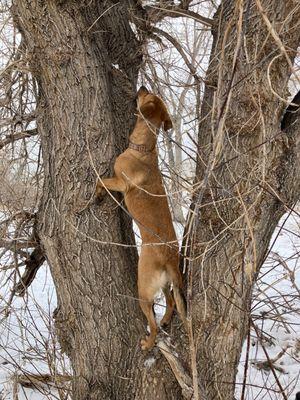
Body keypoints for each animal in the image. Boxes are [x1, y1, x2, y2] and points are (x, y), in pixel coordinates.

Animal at [96, 86, 186, 348]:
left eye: (148, 95)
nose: (142, 87)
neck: (143, 149)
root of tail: (169, 257)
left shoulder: (119, 183)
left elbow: (99, 180)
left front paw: (97, 195)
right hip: (164, 284)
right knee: (171, 302)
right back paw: (165, 320)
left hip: (144, 289)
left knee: (152, 322)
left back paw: (149, 342)